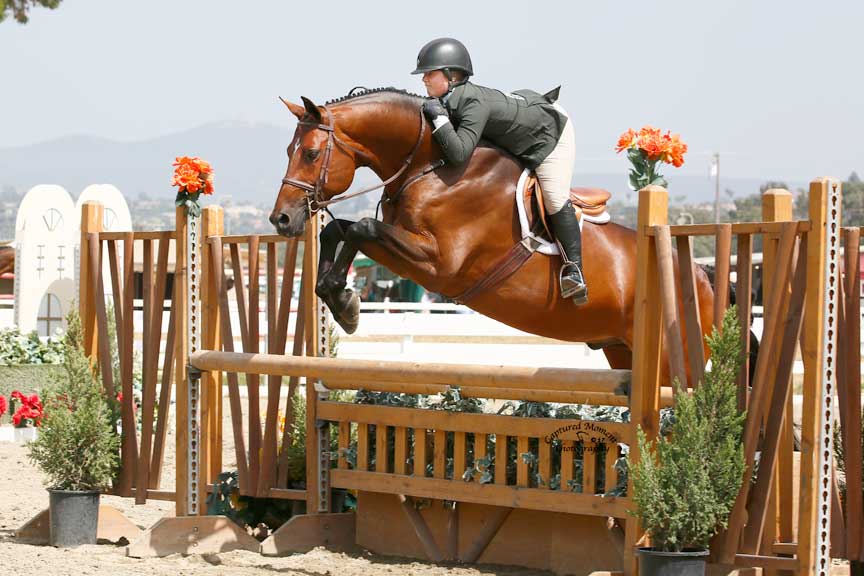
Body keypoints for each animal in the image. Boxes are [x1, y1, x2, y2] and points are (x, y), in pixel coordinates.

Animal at [272, 85, 716, 374]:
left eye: (311, 153)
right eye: (289, 150)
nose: (282, 219)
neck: (431, 165)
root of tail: (701, 274)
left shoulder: (438, 264)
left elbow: (361, 227)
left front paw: (346, 305)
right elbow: (337, 232)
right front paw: (338, 298)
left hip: (668, 360)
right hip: (620, 349)